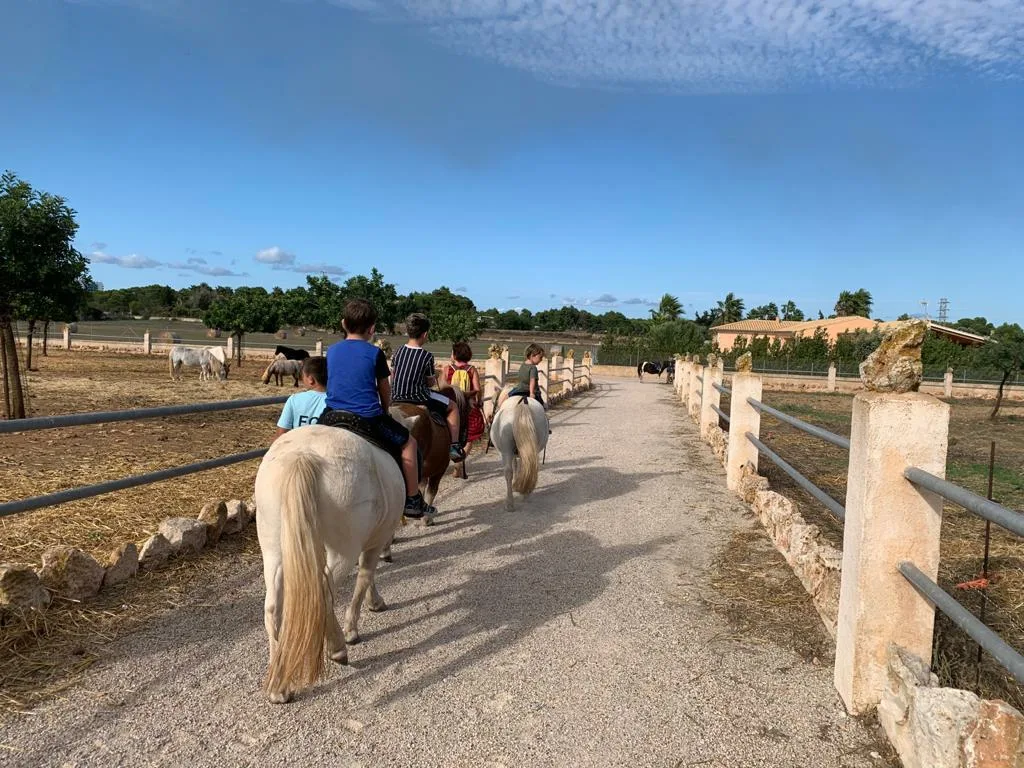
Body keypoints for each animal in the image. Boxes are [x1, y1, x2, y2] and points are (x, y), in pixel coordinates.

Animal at [254, 425, 404, 703]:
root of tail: (302, 455)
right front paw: (355, 626)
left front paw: (374, 602)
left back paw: (278, 685)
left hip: (273, 550)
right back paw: (337, 648)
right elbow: (366, 575)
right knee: (322, 593)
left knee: (272, 609)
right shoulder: (374, 542)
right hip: (342, 550)